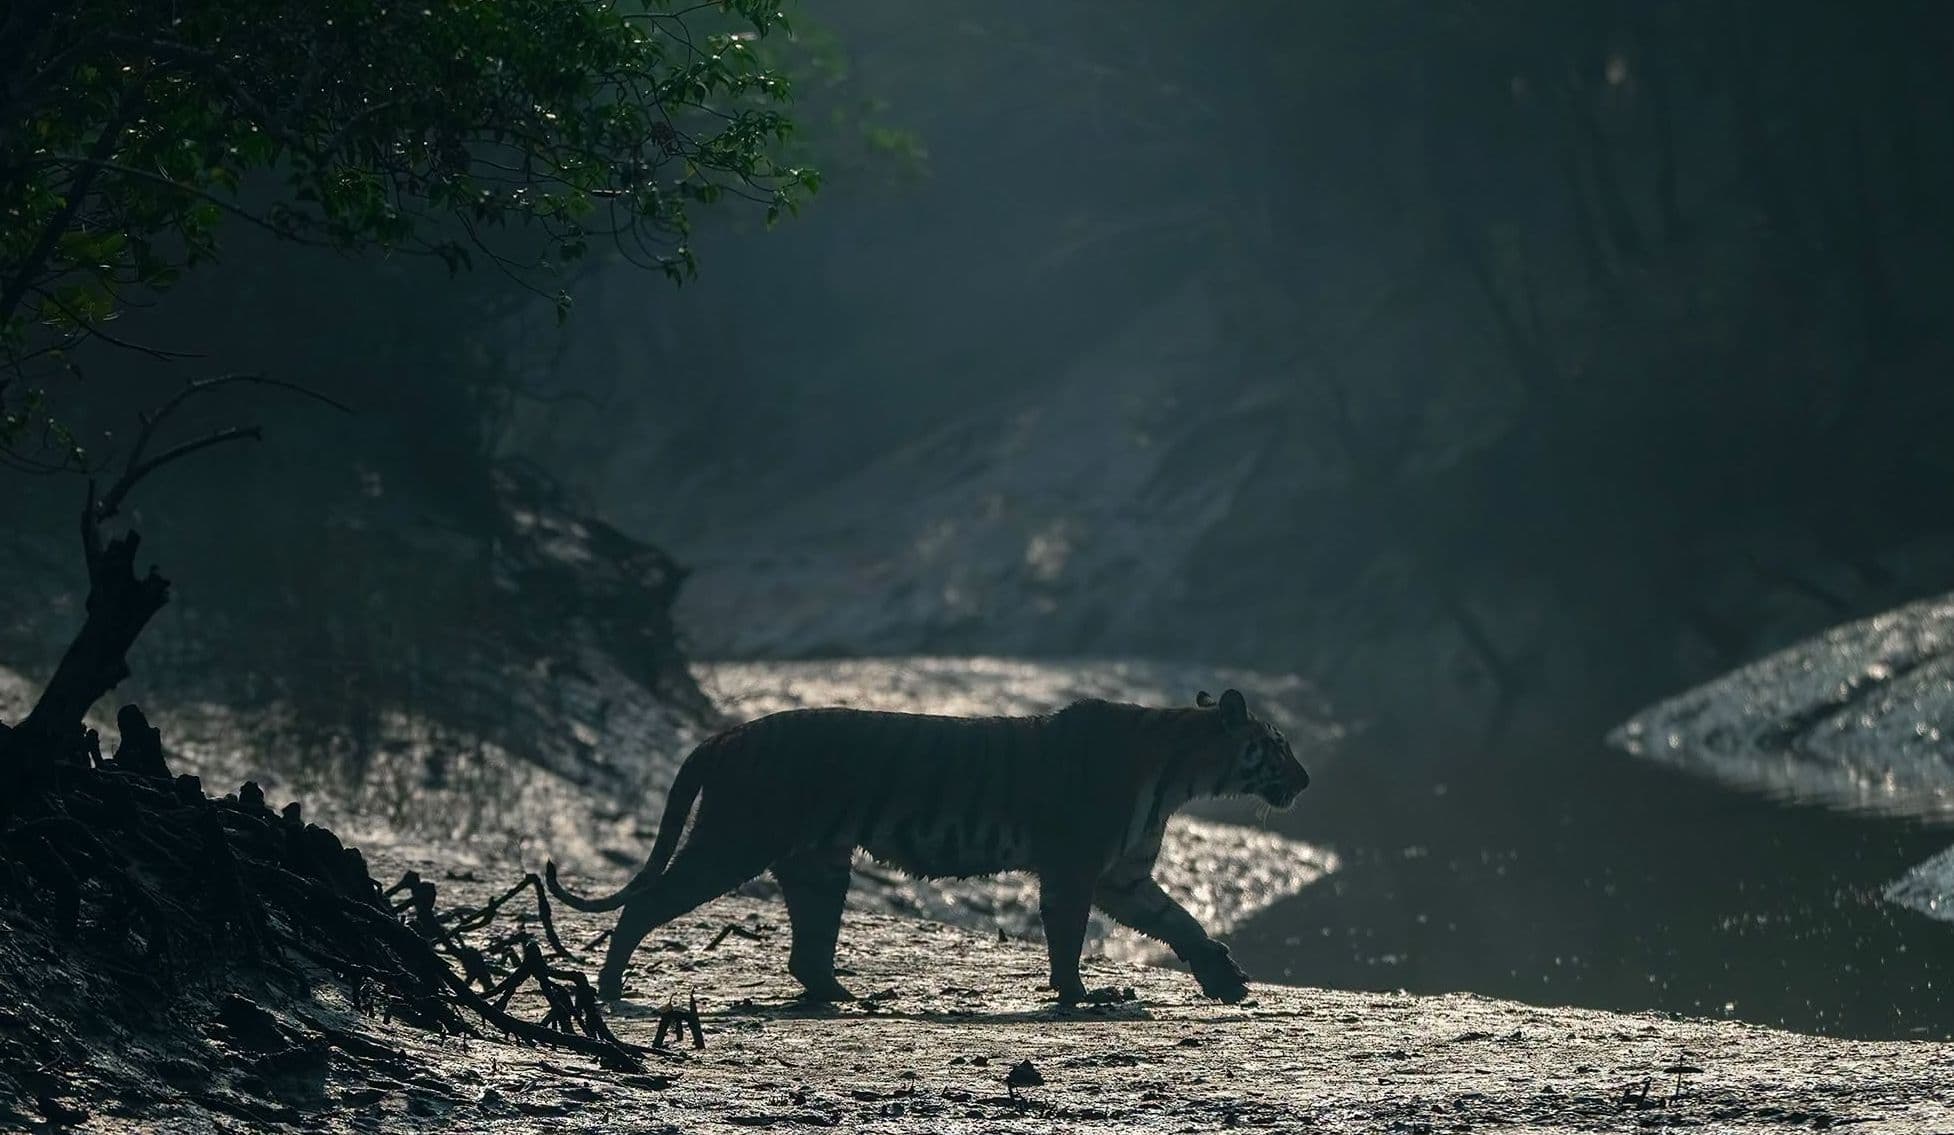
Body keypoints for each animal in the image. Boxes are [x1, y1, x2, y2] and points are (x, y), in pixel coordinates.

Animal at [545, 687, 1309, 1005]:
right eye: (1278, 747)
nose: (1305, 780)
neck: (1185, 772)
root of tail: (724, 734)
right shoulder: (1076, 869)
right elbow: (1067, 937)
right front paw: (1079, 994)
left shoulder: (1122, 876)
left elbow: (1182, 922)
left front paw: (1224, 978)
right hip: (734, 840)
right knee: (645, 903)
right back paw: (610, 985)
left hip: (819, 865)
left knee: (805, 953)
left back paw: (848, 995)